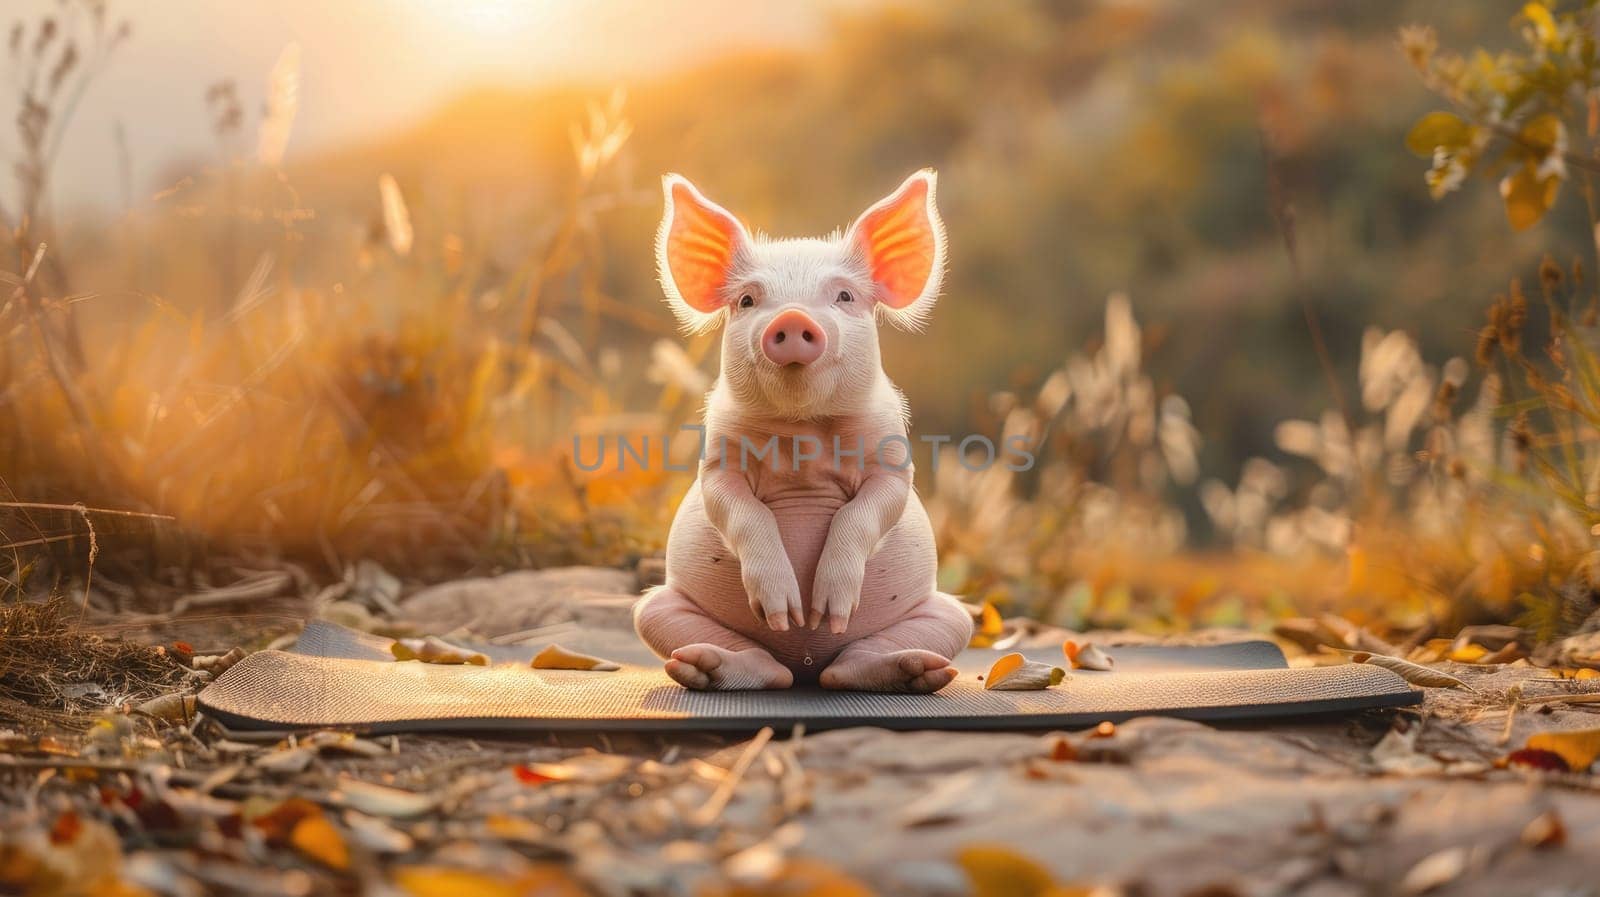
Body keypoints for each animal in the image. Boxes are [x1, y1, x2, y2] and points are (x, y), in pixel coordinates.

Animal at [633, 171, 972, 697]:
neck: (803, 431)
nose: (792, 318)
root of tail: (806, 665)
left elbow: (869, 510)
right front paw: (786, 612)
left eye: (844, 296)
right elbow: (738, 509)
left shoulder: (892, 459)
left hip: (950, 614)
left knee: (855, 664)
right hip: (659, 607)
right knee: (756, 664)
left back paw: (915, 670)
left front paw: (827, 612)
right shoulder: (719, 460)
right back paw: (704, 666)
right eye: (748, 300)